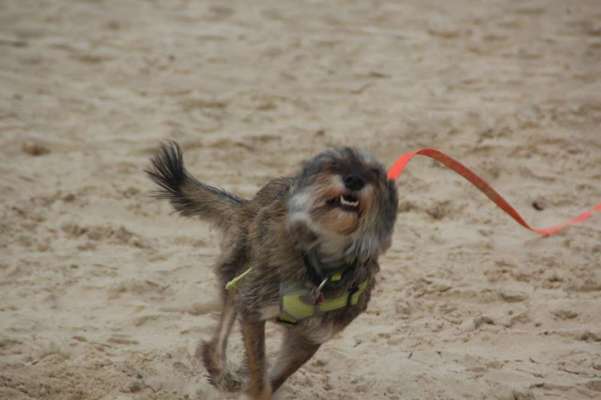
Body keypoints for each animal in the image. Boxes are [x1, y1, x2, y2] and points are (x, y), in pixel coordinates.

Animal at [146, 142, 398, 398]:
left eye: (375, 173)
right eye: (333, 165)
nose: (354, 180)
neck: (322, 262)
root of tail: (249, 204)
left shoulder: (309, 336)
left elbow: (276, 375)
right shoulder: (253, 310)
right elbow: (258, 370)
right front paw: (252, 388)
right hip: (239, 274)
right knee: (219, 336)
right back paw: (220, 370)